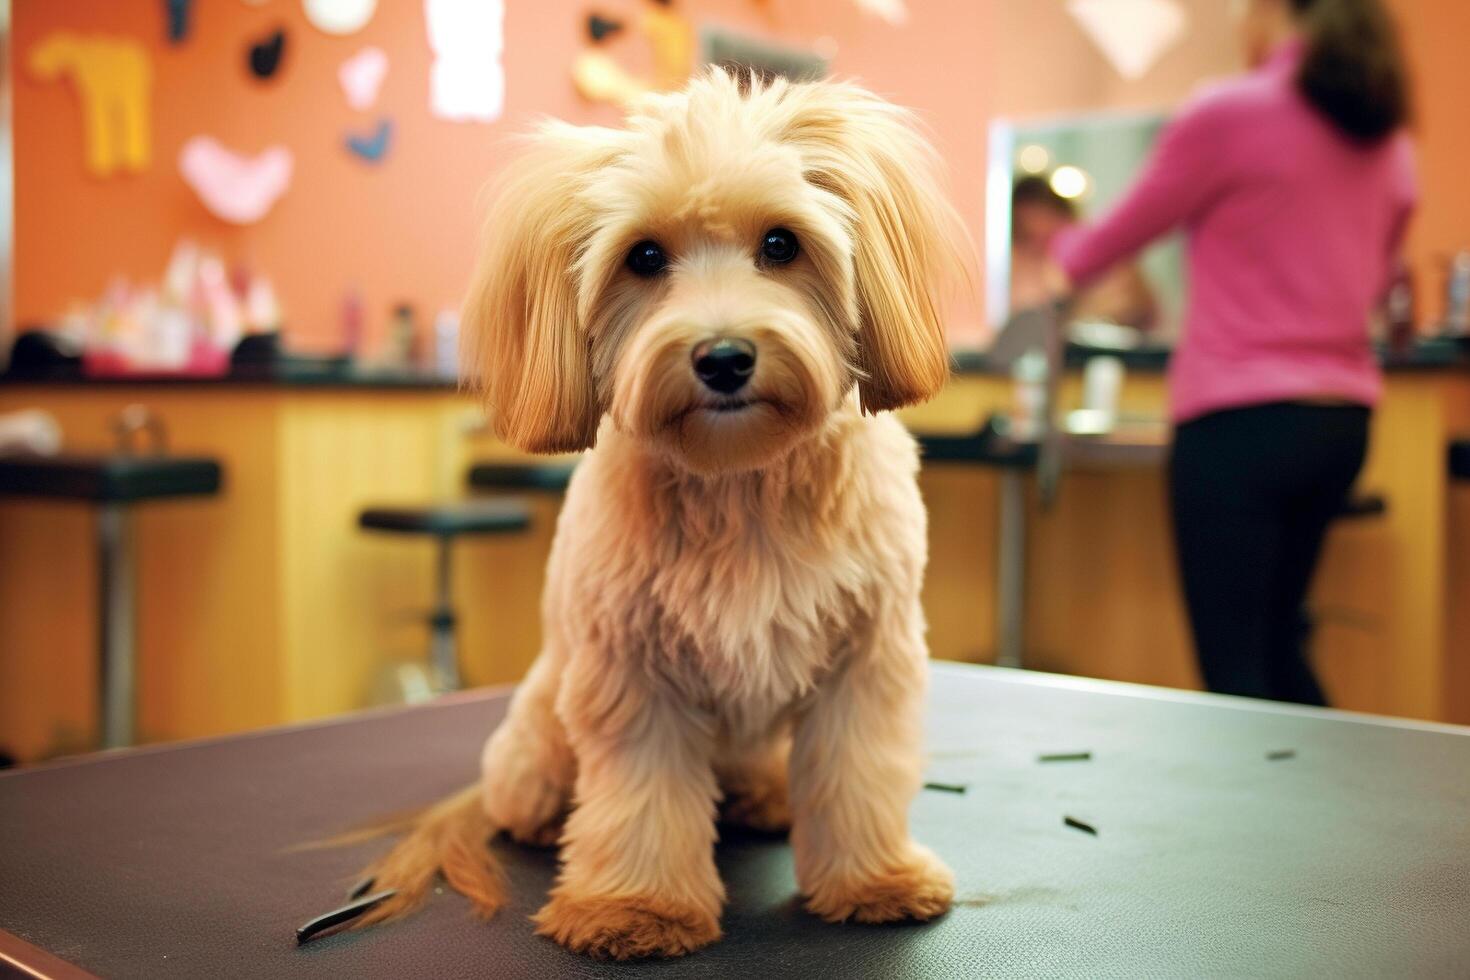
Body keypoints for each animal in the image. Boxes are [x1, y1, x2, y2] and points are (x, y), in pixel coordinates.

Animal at [349, 70, 970, 963]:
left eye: (781, 244)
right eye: (643, 257)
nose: (724, 358)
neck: (739, 480)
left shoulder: (866, 659)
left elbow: (859, 775)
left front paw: (872, 880)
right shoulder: (632, 671)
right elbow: (643, 798)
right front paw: (635, 907)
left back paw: (767, 798)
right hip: (541, 734)